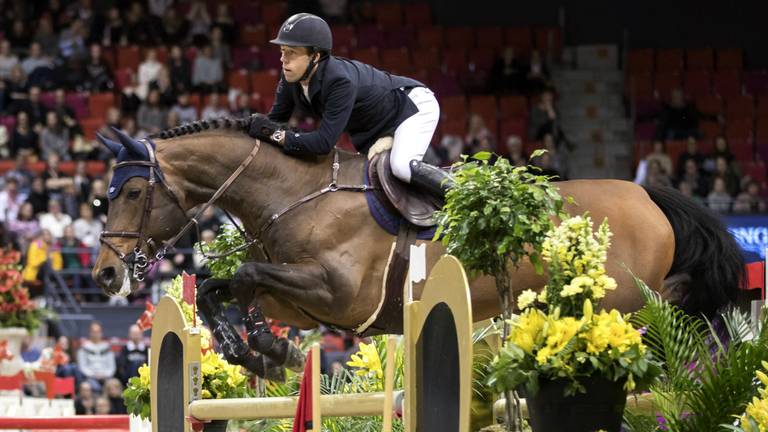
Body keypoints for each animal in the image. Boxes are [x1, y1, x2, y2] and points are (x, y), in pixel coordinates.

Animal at [90, 116, 744, 376]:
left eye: (132, 192)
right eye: (102, 197)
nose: (104, 276)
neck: (294, 193)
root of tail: (649, 195)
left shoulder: (337, 295)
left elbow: (243, 277)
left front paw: (263, 350)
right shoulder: (300, 300)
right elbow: (221, 289)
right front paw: (255, 353)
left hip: (622, 302)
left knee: (664, 330)